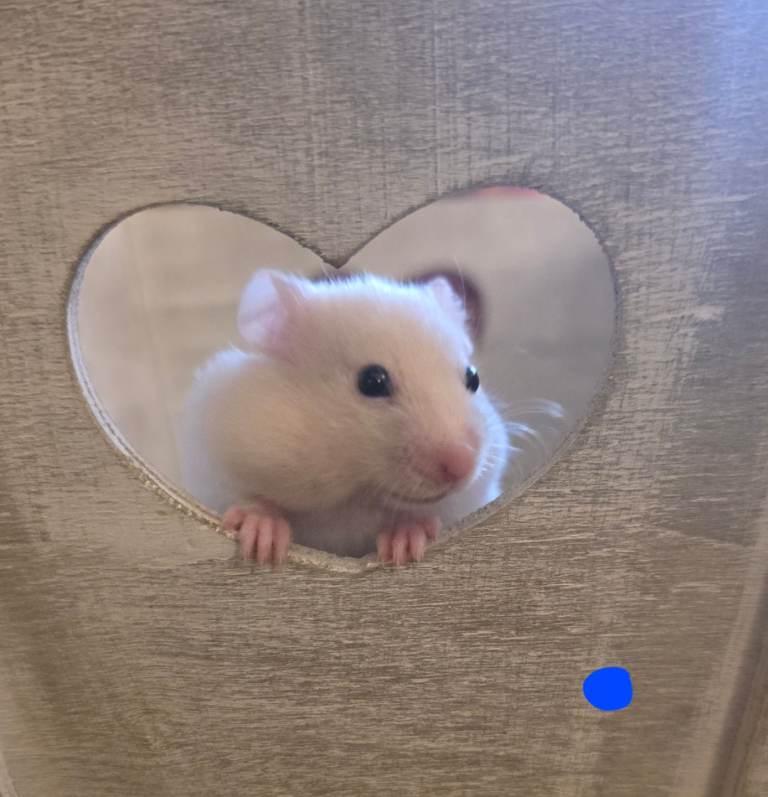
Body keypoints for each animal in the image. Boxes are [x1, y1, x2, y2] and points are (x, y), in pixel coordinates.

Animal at [180, 269, 510, 567]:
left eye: (473, 378)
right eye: (372, 381)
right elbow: (246, 499)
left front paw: (403, 546)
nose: (462, 465)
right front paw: (263, 543)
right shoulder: (212, 468)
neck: (355, 495)